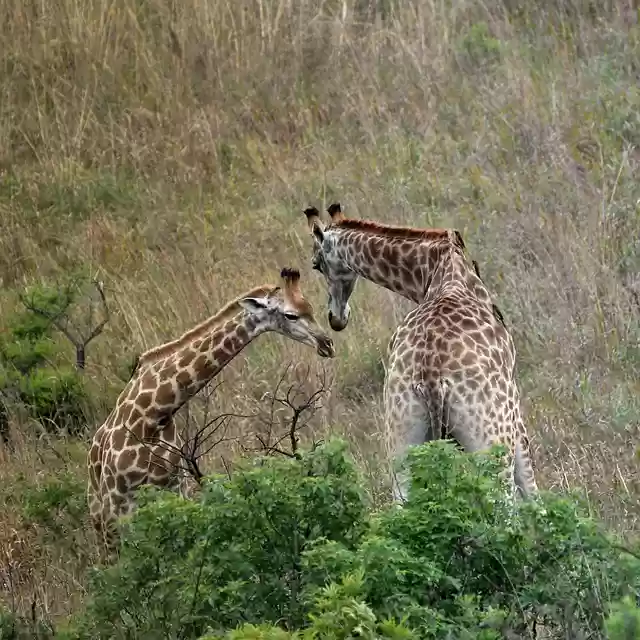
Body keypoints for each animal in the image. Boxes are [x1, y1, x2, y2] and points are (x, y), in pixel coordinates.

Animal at [87, 267, 335, 559]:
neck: (152, 416)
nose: (328, 344)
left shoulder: (175, 488)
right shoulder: (118, 503)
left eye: (310, 308)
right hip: (102, 517)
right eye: (291, 315)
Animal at [302, 204, 538, 502]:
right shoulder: (516, 418)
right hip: (491, 439)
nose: (335, 318)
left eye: (316, 264)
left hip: (401, 439)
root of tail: (431, 376)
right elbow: (534, 494)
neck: (433, 268)